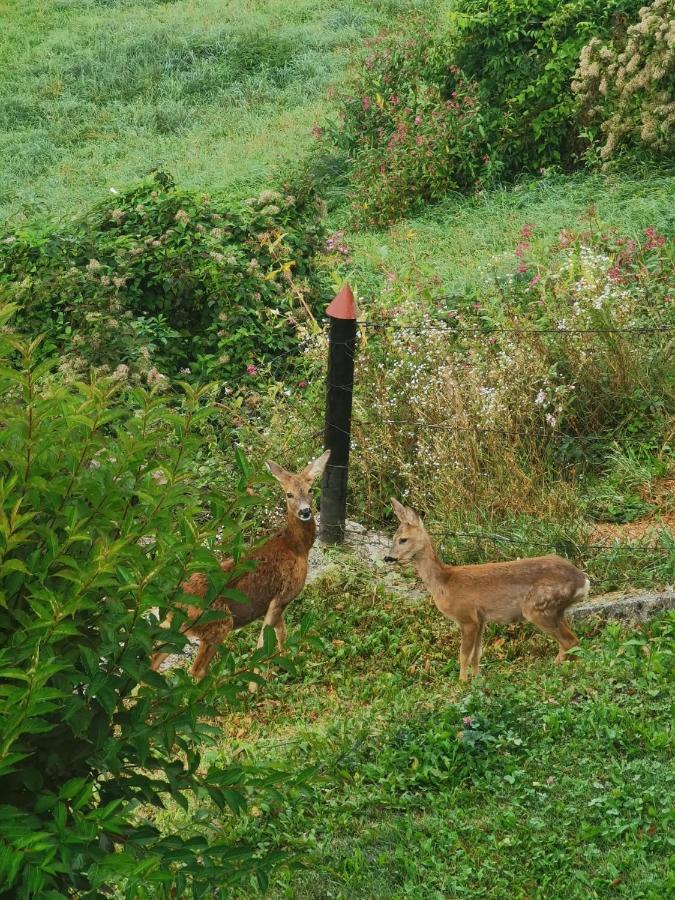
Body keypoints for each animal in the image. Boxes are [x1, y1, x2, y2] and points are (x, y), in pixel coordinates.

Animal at [153, 450, 332, 684]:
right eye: (288, 494)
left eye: (310, 490)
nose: (305, 511)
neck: (296, 547)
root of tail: (173, 603)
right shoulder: (282, 596)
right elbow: (264, 642)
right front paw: (259, 684)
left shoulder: (276, 603)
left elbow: (281, 636)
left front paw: (286, 669)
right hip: (219, 623)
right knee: (196, 670)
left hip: (175, 630)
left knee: (152, 660)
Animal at [386, 496, 592, 680]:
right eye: (393, 538)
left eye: (403, 539)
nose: (388, 558)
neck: (444, 583)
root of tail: (583, 580)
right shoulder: (481, 620)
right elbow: (476, 654)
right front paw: (476, 679)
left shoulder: (467, 617)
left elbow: (463, 655)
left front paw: (461, 683)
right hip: (556, 611)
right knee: (570, 641)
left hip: (539, 606)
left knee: (569, 641)